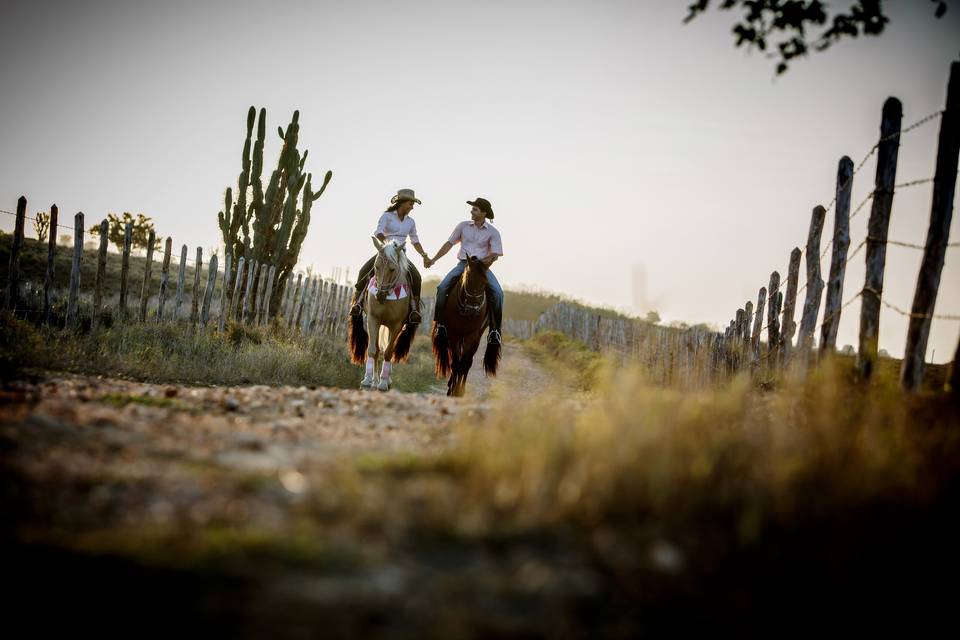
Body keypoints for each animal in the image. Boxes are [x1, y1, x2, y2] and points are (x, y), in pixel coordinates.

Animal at [346, 239, 418, 392]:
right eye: (376, 266)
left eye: (393, 269)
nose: (379, 295)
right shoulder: (373, 320)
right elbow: (373, 350)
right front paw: (367, 381)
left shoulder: (396, 325)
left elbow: (389, 353)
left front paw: (384, 383)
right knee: (378, 350)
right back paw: (374, 381)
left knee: (388, 350)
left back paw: (386, 379)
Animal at [432, 254, 498, 396]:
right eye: (467, 279)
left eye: (485, 282)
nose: (473, 309)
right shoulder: (454, 335)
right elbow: (456, 363)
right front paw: (452, 390)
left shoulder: (471, 336)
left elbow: (463, 363)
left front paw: (458, 391)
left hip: (476, 338)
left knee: (468, 362)